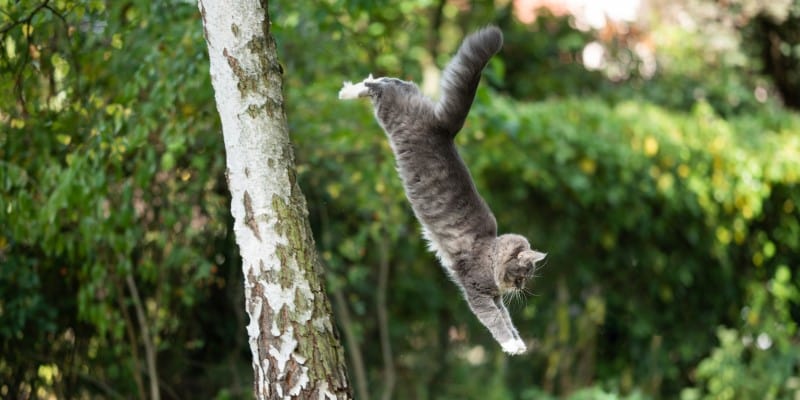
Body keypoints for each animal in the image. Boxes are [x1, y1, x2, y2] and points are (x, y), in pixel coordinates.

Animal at [338, 26, 544, 354]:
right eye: (523, 274)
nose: (522, 288)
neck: (490, 253)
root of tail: (444, 128)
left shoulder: (494, 297)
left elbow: (508, 319)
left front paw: (519, 343)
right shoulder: (477, 293)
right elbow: (496, 322)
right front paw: (511, 345)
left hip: (405, 98)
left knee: (394, 81)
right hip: (391, 112)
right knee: (376, 87)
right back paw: (348, 91)